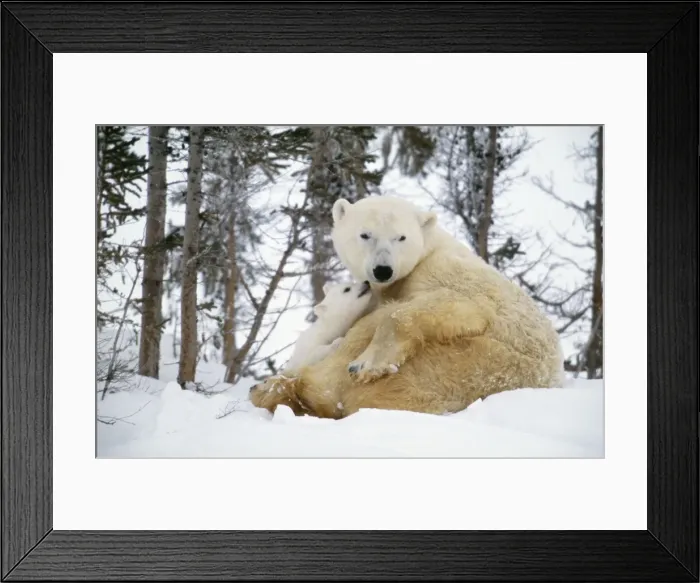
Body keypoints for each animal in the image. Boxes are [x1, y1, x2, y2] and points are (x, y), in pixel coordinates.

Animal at [250, 195, 565, 419]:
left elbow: (450, 306)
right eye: (365, 234)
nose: (382, 270)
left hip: (454, 364)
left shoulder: (453, 281)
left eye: (400, 237)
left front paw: (368, 364)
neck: (429, 250)